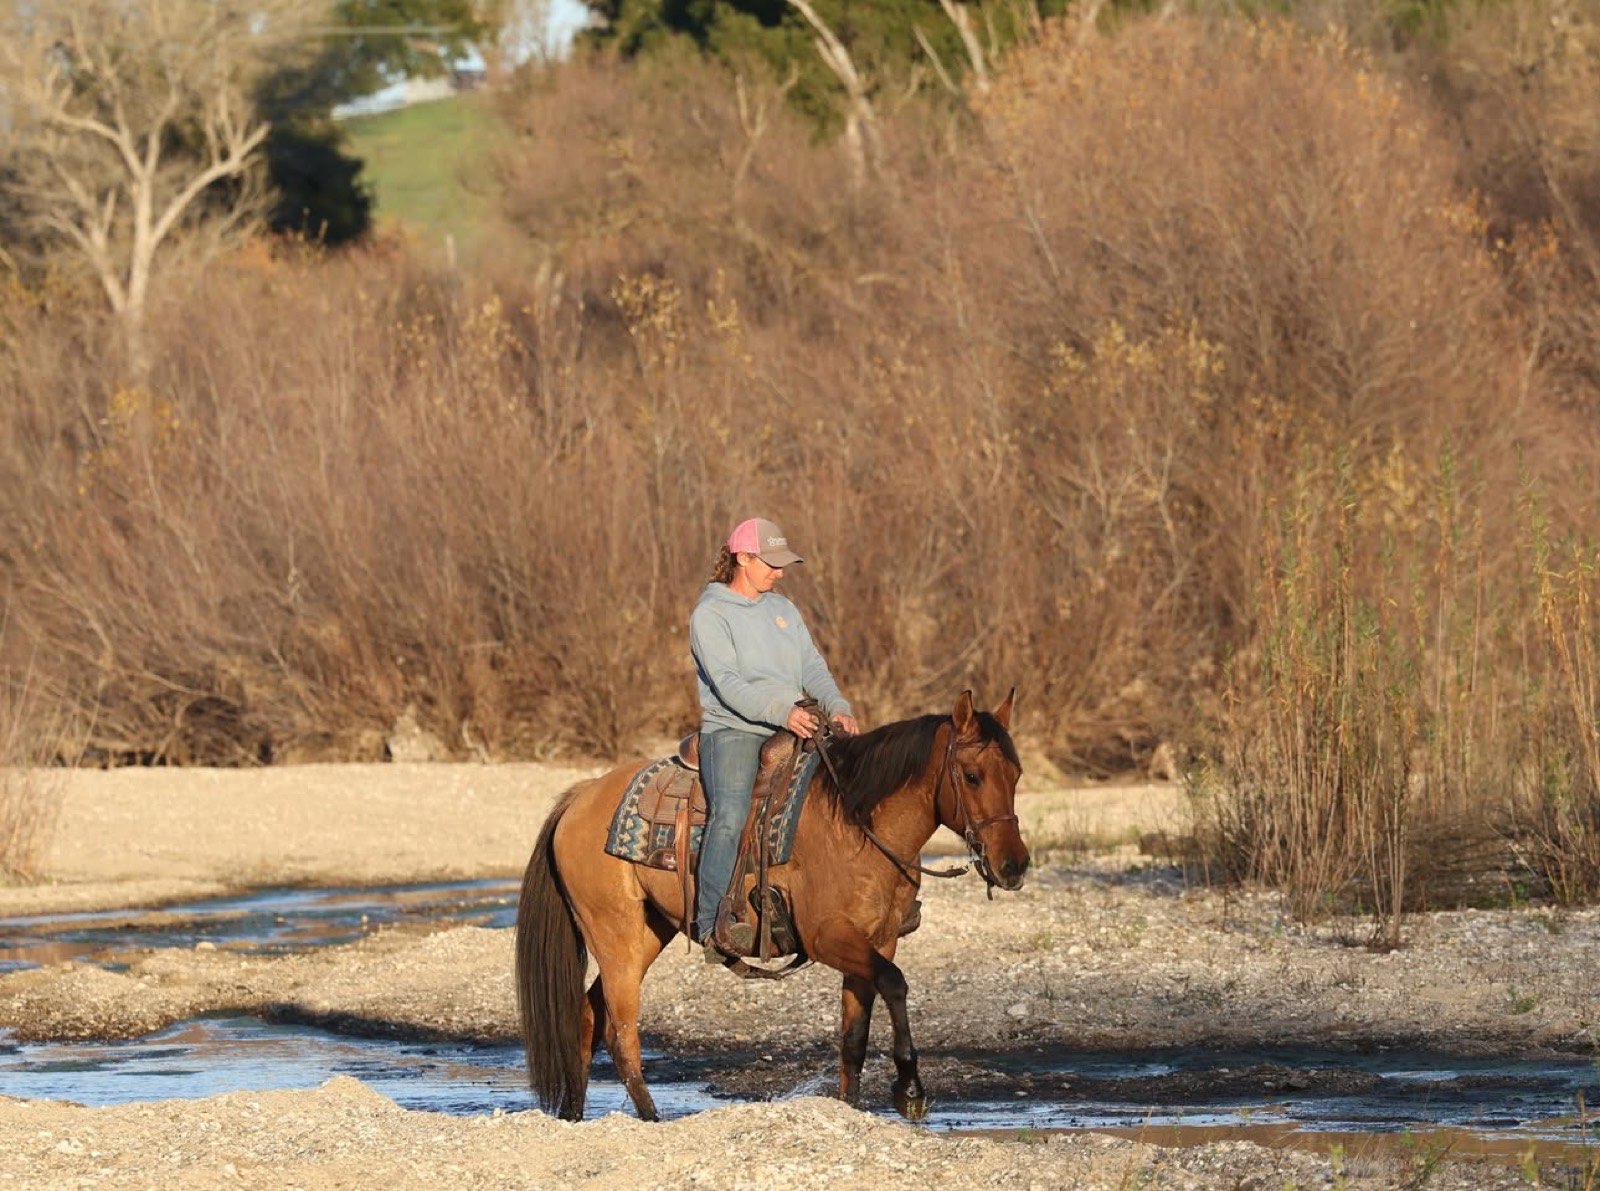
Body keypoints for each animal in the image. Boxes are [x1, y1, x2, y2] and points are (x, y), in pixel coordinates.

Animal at [514, 689, 1030, 1122]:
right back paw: (651, 1119)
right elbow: (896, 984)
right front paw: (910, 1089)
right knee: (622, 1034)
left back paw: (574, 1117)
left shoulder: (875, 941)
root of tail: (580, 797)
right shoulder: (829, 938)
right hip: (614, 935)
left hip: (645, 935)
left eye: (1016, 775)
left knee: (587, 1017)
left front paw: (852, 1109)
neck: (856, 826)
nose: (1014, 865)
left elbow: (854, 1038)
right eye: (972, 776)